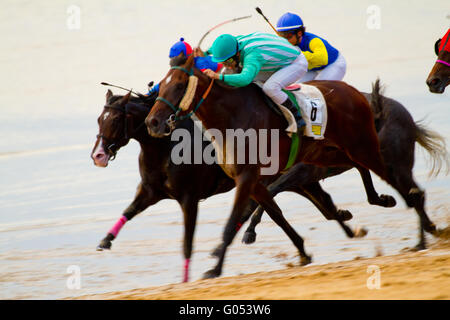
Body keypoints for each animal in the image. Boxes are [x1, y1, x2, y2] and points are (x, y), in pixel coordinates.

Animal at [147, 56, 432, 278]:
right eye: (160, 85)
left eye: (180, 85)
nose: (153, 122)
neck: (232, 117)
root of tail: (354, 91)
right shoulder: (256, 181)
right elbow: (277, 215)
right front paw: (303, 252)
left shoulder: (247, 177)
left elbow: (233, 222)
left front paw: (215, 269)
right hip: (330, 154)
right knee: (363, 169)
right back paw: (382, 200)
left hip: (362, 147)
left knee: (393, 177)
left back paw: (419, 213)